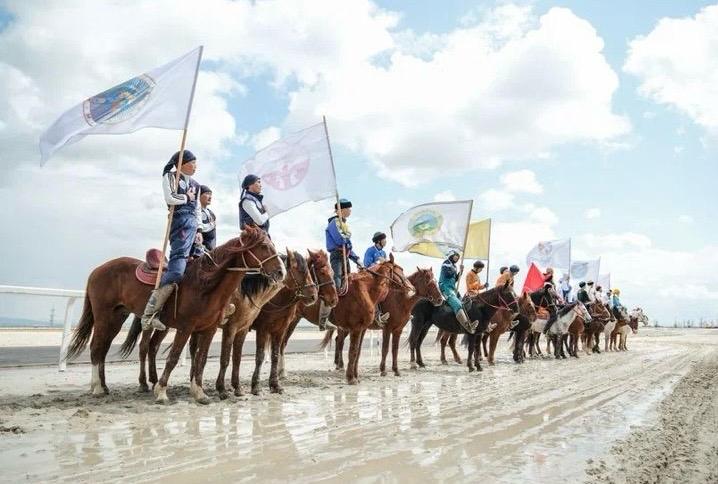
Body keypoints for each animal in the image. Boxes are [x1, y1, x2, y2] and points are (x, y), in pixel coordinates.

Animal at [66, 228, 282, 404]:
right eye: (264, 246)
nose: (280, 272)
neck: (205, 285)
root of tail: (97, 270)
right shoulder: (187, 327)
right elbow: (174, 357)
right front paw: (162, 391)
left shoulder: (210, 329)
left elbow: (202, 358)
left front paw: (199, 392)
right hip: (103, 317)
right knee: (98, 348)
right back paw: (98, 387)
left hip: (116, 319)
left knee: (105, 349)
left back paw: (105, 386)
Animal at [249, 251, 334, 396]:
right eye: (322, 272)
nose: (334, 299)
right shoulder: (263, 329)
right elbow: (260, 356)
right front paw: (256, 386)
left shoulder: (282, 328)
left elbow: (276, 353)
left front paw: (275, 383)